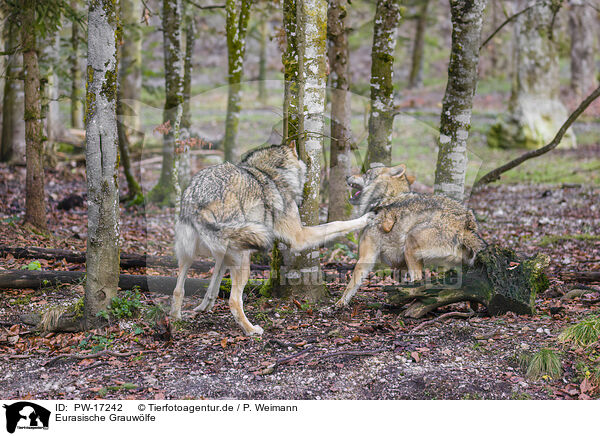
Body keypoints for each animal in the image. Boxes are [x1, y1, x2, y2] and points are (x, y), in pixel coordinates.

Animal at [170, 141, 376, 336]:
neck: (273, 173)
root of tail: (199, 200)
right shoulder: (299, 236)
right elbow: (337, 224)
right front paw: (366, 217)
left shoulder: (222, 257)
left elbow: (213, 283)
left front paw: (204, 306)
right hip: (244, 259)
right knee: (234, 301)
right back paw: (251, 330)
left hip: (188, 257)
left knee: (178, 289)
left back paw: (176, 319)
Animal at [336, 162, 486, 308]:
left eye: (366, 173)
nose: (347, 176)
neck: (385, 197)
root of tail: (466, 228)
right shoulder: (400, 264)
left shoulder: (366, 257)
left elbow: (351, 284)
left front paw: (341, 303)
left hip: (410, 243)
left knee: (417, 283)